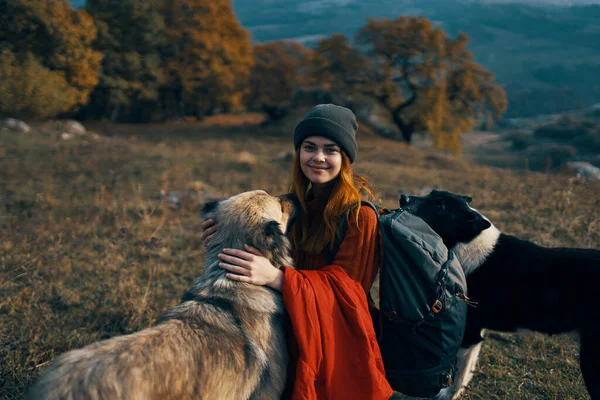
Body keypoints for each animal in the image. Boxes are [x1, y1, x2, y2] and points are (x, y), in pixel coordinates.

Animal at [398, 191, 600, 400]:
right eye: (431, 194)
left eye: (440, 205)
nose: (403, 198)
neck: (465, 244)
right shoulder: (476, 335)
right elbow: (467, 370)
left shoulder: (469, 334)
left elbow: (457, 375)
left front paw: (446, 395)